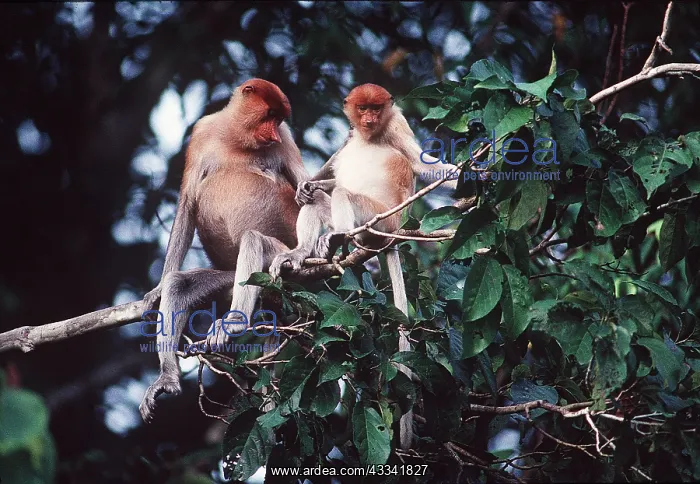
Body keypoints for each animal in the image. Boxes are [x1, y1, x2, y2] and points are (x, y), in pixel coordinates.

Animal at [139, 78, 323, 422]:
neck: (236, 139)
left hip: (276, 260)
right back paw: (167, 378)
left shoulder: (287, 142)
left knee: (253, 240)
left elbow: (310, 190)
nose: (274, 135)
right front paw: (156, 289)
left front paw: (303, 249)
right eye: (270, 115)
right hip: (230, 277)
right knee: (180, 285)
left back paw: (234, 323)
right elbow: (187, 204)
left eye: (279, 120)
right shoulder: (201, 133)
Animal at [269, 83, 428, 450]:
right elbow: (330, 168)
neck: (372, 134)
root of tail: (392, 236)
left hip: (377, 219)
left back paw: (338, 237)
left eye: (376, 108)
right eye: (362, 109)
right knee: (319, 201)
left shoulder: (397, 124)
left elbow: (422, 165)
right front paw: (308, 185)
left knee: (344, 193)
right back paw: (301, 252)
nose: (368, 119)